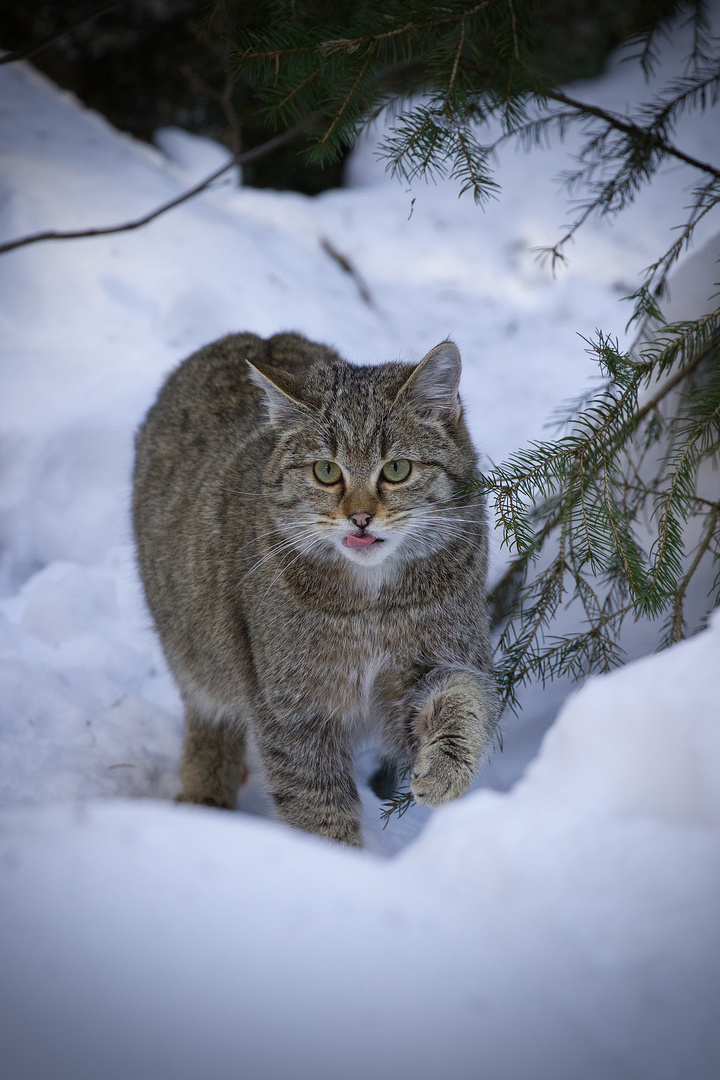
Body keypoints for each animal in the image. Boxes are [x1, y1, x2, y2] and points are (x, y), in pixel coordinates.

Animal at [133, 332, 496, 846]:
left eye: (397, 469)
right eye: (326, 471)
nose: (360, 517)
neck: (371, 603)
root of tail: (247, 336)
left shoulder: (441, 660)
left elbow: (466, 701)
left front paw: (447, 769)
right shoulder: (294, 711)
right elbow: (317, 809)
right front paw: (331, 860)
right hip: (191, 643)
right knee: (209, 718)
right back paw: (206, 797)